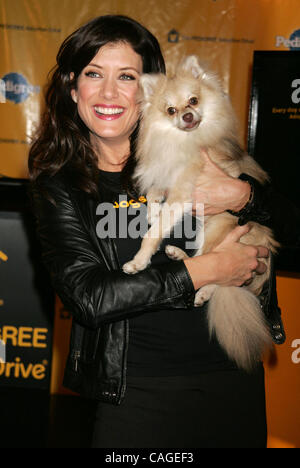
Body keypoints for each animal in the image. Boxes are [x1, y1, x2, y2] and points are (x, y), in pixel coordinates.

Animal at [122, 55, 278, 370]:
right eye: (171, 110)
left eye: (193, 100)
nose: (187, 116)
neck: (181, 141)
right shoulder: (164, 174)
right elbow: (155, 194)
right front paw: (152, 211)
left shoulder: (183, 192)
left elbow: (153, 234)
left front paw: (139, 261)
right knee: (202, 263)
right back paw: (179, 257)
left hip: (218, 228)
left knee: (216, 267)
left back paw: (202, 288)